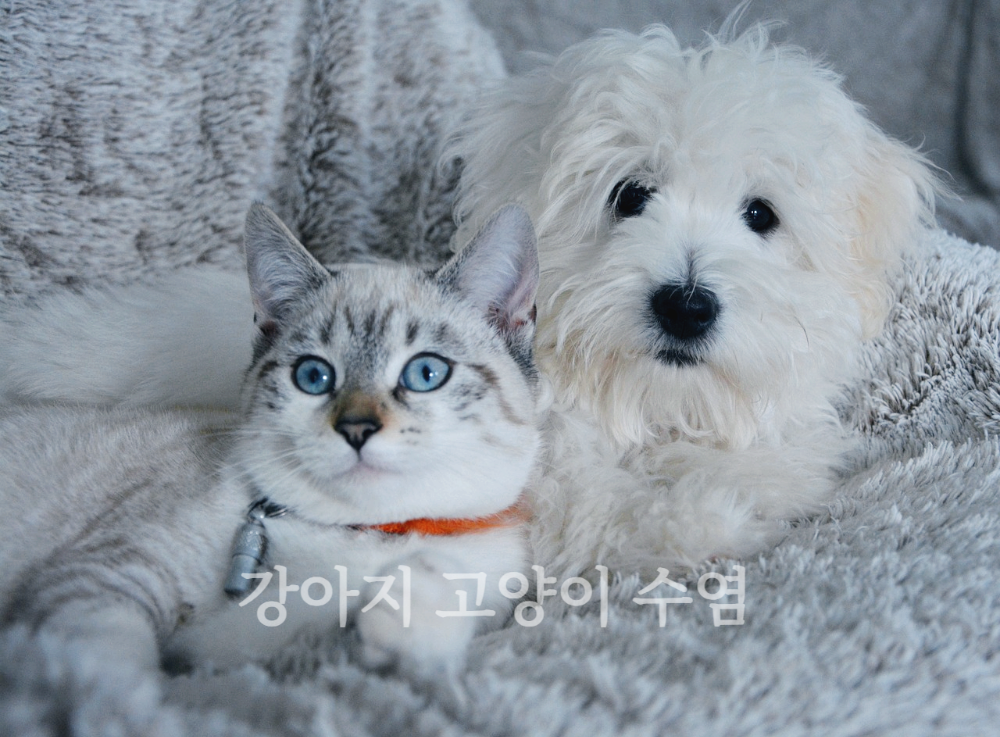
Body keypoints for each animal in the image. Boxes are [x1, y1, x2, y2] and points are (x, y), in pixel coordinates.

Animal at [0, 202, 541, 680]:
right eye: (314, 376)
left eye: (426, 373)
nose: (357, 429)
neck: (364, 536)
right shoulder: (108, 582)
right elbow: (111, 671)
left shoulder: (265, 653)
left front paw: (409, 611)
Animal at [448, 23, 941, 576]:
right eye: (630, 195)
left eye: (760, 214)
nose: (685, 308)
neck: (660, 411)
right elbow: (604, 516)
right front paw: (713, 523)